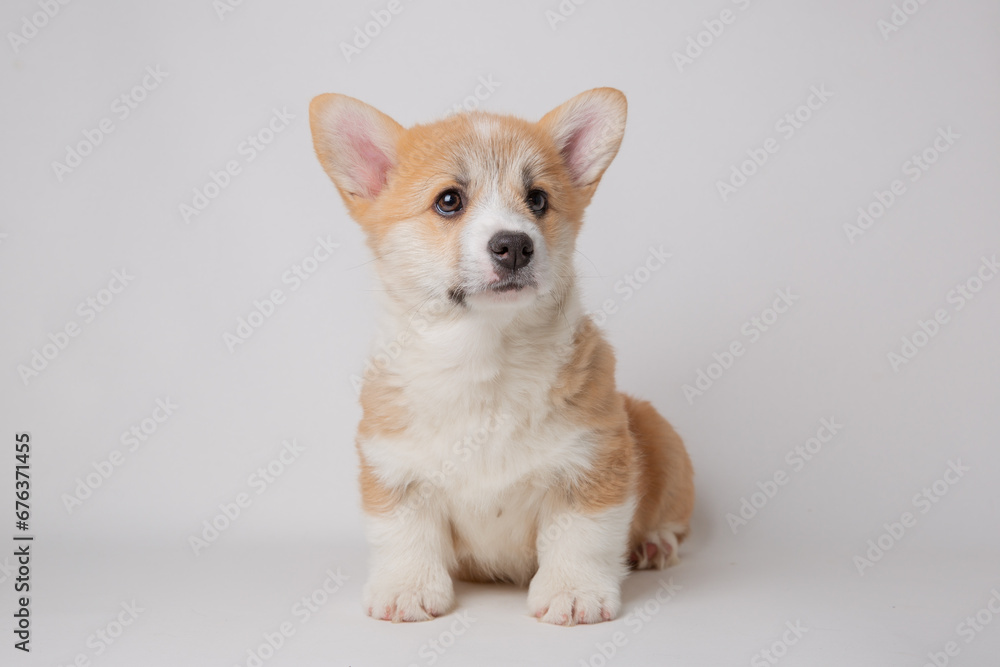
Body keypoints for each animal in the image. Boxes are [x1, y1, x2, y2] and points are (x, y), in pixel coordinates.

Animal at [308, 87, 692, 628]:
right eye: (449, 200)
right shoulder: (395, 470)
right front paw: (406, 590)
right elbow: (403, 536)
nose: (514, 245)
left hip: (659, 435)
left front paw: (574, 593)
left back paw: (653, 545)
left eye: (538, 199)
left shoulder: (594, 462)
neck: (484, 354)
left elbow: (583, 536)